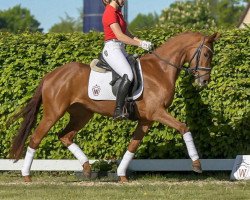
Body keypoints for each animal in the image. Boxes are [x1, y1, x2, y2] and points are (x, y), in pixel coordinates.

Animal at [9, 31, 219, 183]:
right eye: (206, 53)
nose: (204, 81)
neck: (160, 69)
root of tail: (50, 75)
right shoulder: (157, 112)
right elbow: (184, 127)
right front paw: (197, 164)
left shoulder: (147, 119)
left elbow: (133, 145)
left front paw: (122, 175)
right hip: (53, 114)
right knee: (36, 138)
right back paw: (26, 176)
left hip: (82, 114)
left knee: (65, 136)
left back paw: (87, 169)